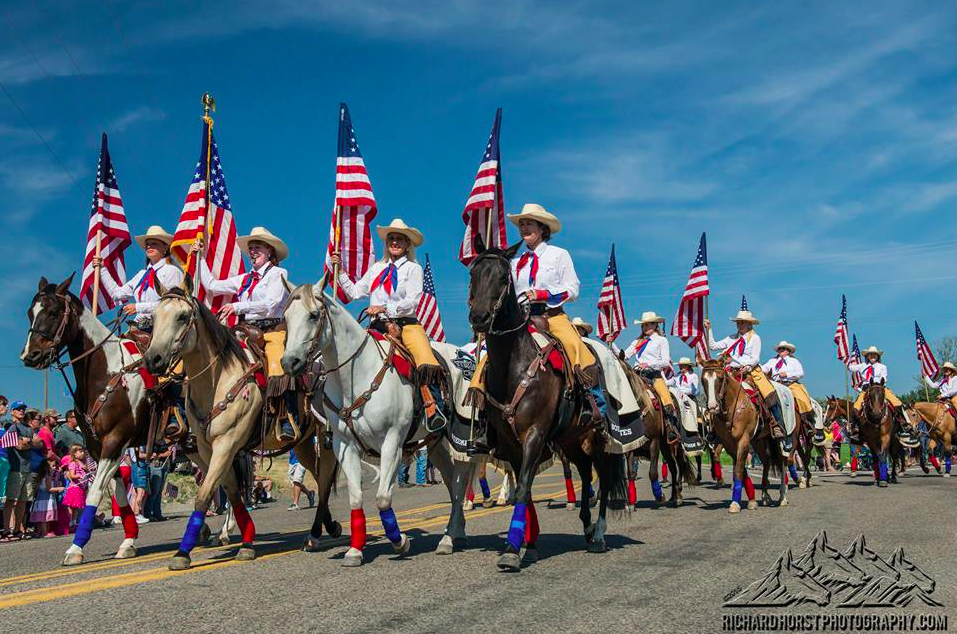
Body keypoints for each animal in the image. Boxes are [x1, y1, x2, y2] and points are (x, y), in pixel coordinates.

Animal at [468, 241, 632, 568]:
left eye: (503, 277)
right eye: (473, 274)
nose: (479, 317)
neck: (513, 366)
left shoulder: (534, 433)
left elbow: (522, 487)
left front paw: (511, 550)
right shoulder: (509, 442)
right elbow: (526, 489)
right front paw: (527, 543)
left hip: (597, 439)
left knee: (605, 479)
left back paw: (599, 535)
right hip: (571, 440)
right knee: (585, 473)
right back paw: (586, 528)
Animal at [700, 358, 788, 512]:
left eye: (720, 378)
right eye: (703, 380)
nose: (712, 407)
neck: (731, 408)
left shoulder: (743, 440)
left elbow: (738, 470)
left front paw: (735, 503)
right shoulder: (729, 443)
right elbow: (741, 469)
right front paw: (751, 500)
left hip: (777, 439)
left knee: (782, 462)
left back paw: (782, 497)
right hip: (759, 440)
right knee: (766, 461)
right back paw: (765, 495)